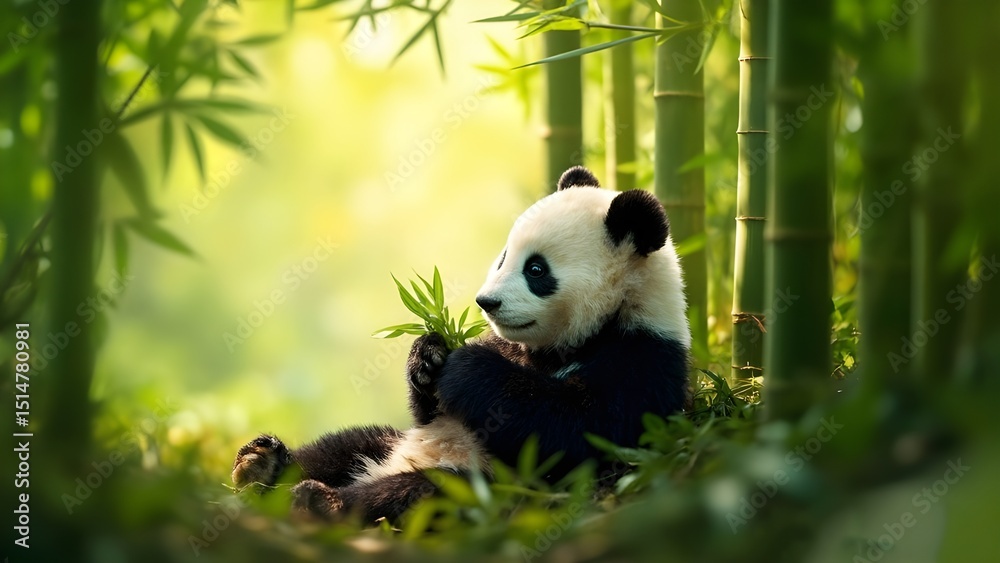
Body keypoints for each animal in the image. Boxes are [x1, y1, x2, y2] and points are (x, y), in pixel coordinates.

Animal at [231, 166, 691, 523]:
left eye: (536, 269)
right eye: (503, 257)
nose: (487, 302)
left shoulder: (642, 363)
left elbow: (575, 430)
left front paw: (466, 367)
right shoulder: (512, 347)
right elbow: (431, 410)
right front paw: (430, 355)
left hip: (490, 487)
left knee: (429, 492)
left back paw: (320, 501)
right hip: (388, 442)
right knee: (346, 445)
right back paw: (264, 465)